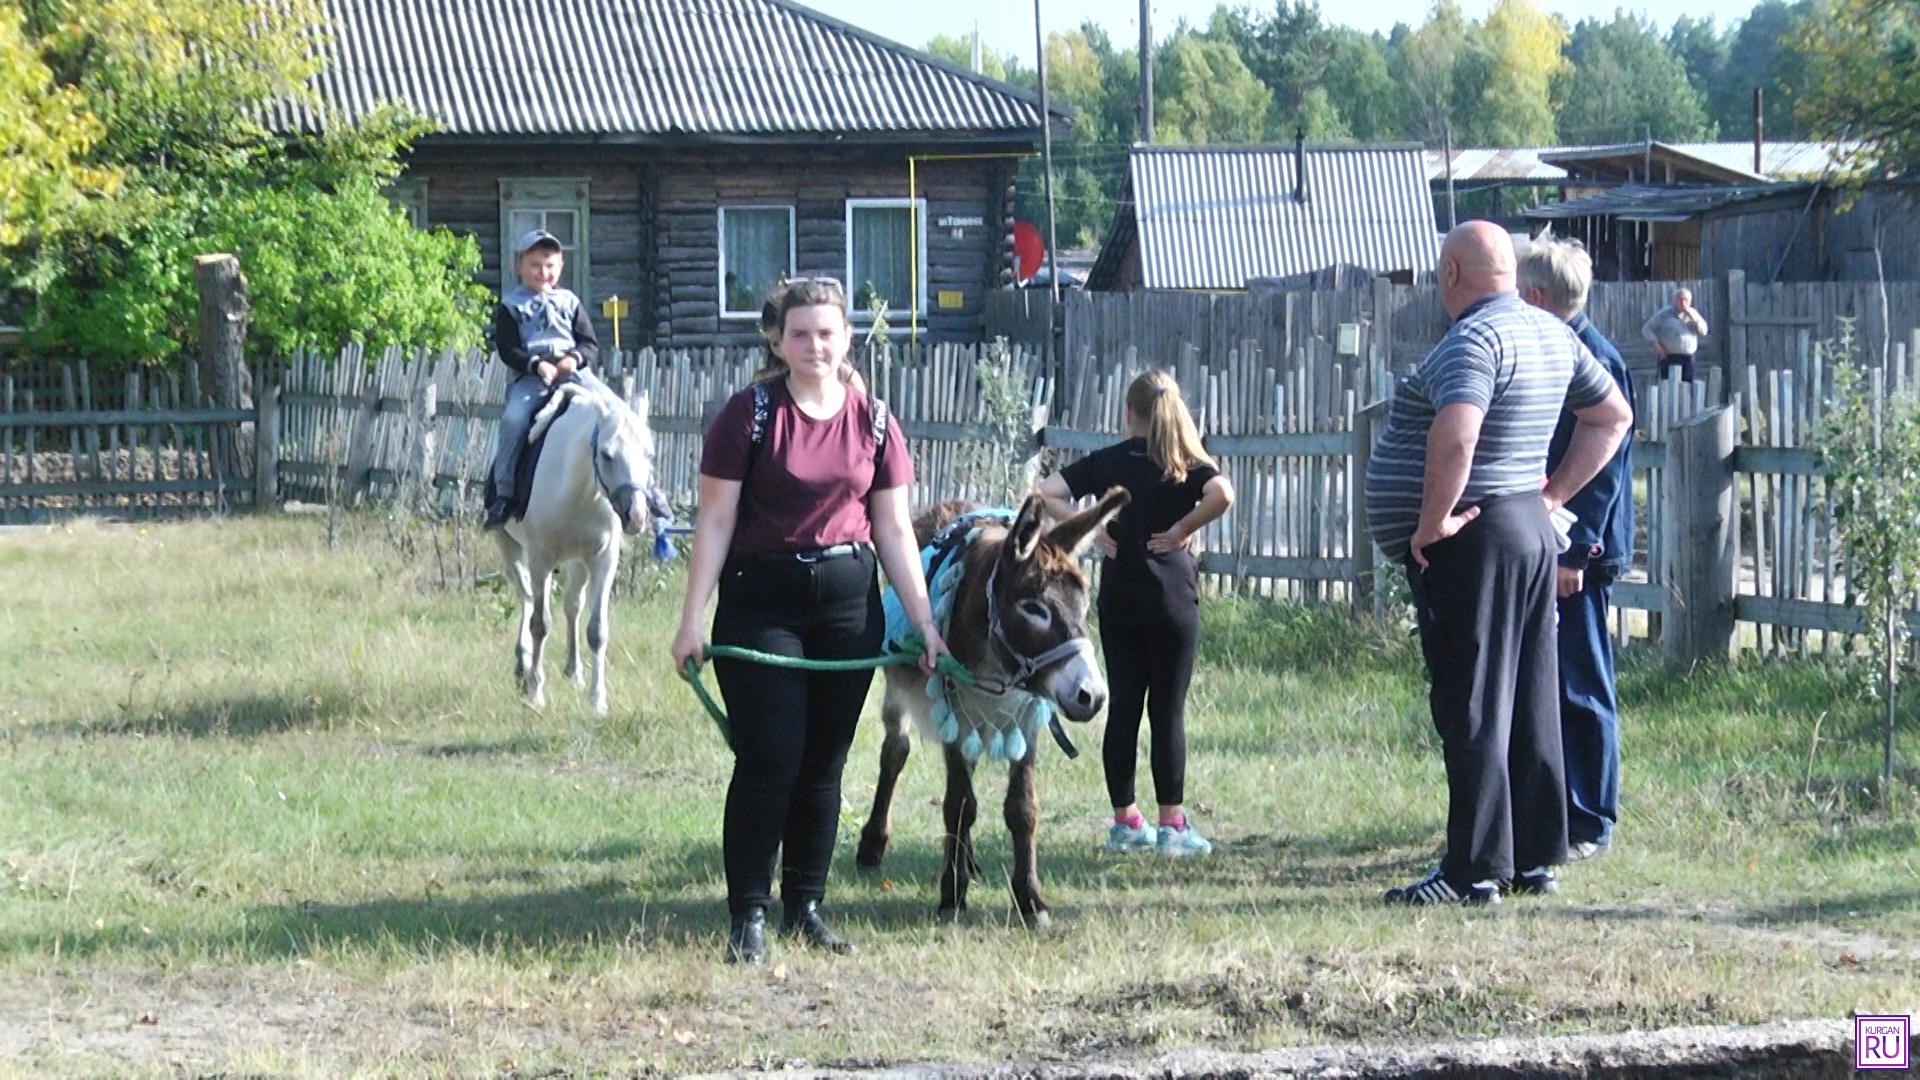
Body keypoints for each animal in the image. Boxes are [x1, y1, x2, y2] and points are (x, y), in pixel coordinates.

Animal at [491, 380, 656, 714]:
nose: (636, 515)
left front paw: (598, 701)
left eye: (649, 454)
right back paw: (523, 666)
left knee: (571, 606)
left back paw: (574, 672)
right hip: (511, 550)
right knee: (527, 599)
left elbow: (597, 630)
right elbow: (540, 624)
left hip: (577, 562)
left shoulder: (603, 560)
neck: (580, 489)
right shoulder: (541, 559)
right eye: (607, 454)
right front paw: (536, 692)